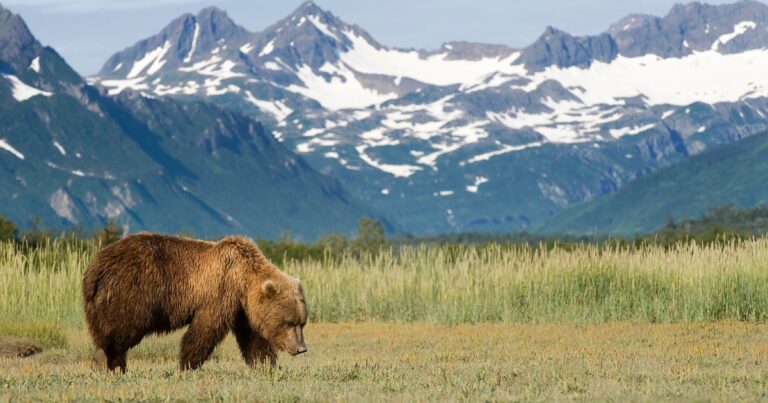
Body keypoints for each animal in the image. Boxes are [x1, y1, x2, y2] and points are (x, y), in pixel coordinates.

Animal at [79, 234, 304, 372]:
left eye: (301, 323)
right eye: (289, 322)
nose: (302, 348)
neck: (243, 279)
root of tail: (94, 267)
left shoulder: (243, 309)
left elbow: (253, 339)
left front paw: (266, 365)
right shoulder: (220, 292)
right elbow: (205, 330)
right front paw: (186, 365)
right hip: (131, 293)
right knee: (121, 330)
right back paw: (109, 362)